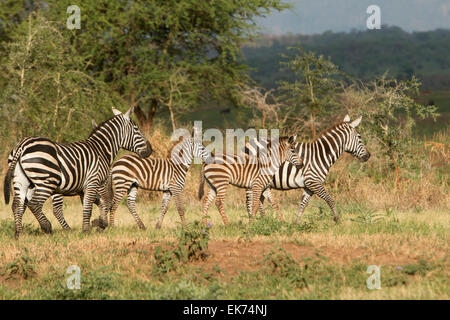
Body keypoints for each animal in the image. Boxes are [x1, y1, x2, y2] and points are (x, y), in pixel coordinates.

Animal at [3, 107, 153, 238]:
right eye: (137, 130)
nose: (150, 150)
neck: (101, 150)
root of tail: (22, 144)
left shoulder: (84, 188)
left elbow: (90, 206)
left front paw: (97, 223)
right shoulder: (94, 182)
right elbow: (93, 206)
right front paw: (89, 229)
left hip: (22, 180)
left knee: (17, 205)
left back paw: (19, 234)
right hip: (46, 182)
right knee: (34, 204)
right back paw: (47, 228)